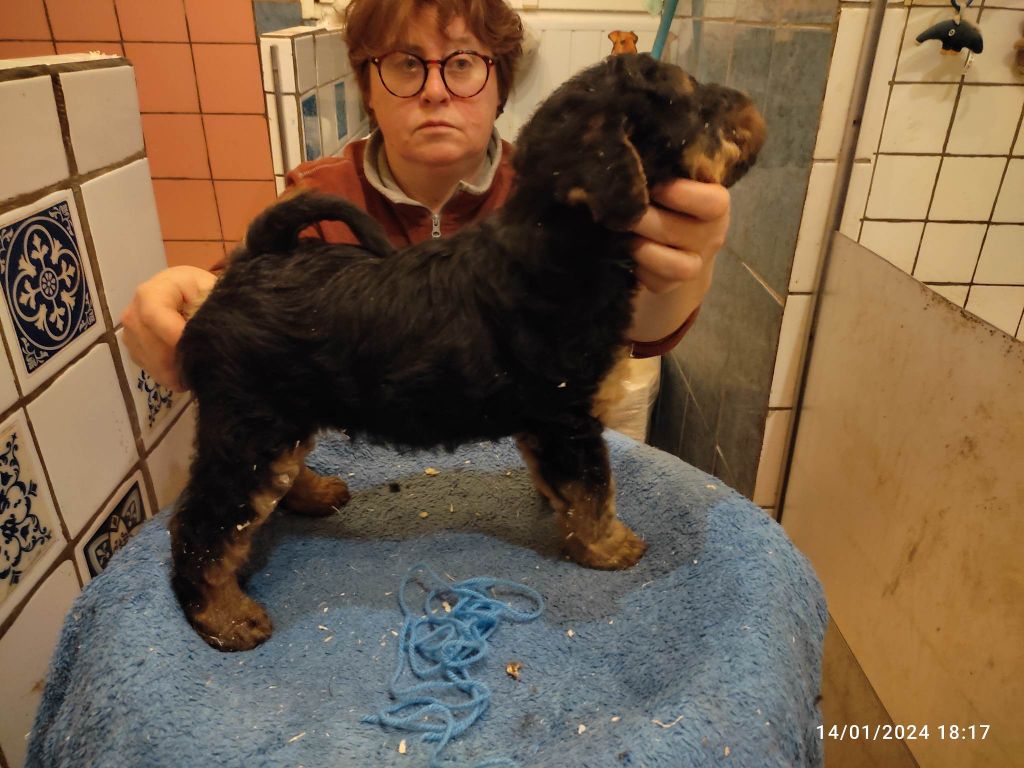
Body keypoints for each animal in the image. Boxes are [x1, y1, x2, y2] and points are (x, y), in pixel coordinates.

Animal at [171, 53, 765, 651]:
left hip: (279, 419)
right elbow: (595, 487)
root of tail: (253, 261)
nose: (750, 105)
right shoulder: (567, 418)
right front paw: (611, 546)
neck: (563, 240)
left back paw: (315, 493)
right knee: (206, 526)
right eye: (692, 101)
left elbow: (569, 486)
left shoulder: (546, 424)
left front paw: (572, 522)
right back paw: (225, 616)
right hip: (249, 426)